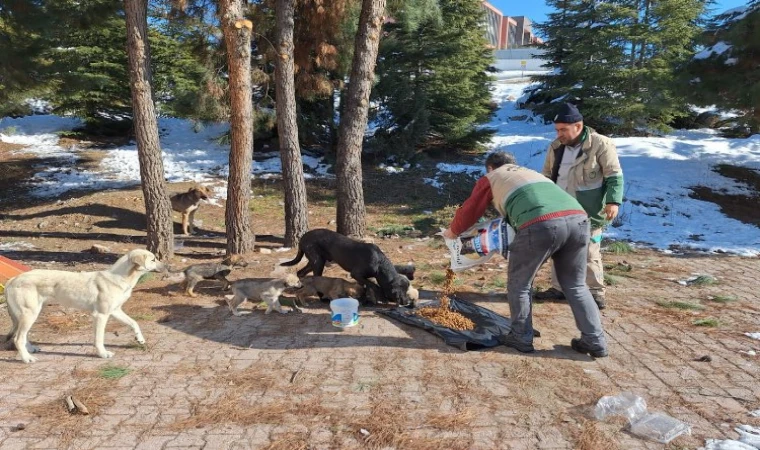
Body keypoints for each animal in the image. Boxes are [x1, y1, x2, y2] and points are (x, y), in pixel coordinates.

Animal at [4, 248, 165, 364]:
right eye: (153, 259)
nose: (167, 266)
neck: (121, 278)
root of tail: (12, 279)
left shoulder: (115, 311)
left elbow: (134, 323)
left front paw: (140, 339)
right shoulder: (101, 315)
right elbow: (99, 338)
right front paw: (103, 354)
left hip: (33, 313)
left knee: (23, 336)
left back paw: (31, 349)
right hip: (30, 314)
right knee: (18, 338)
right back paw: (27, 359)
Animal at [280, 229, 410, 306]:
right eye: (400, 291)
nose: (406, 302)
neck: (379, 263)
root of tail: (303, 238)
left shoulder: (361, 278)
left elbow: (366, 286)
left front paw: (364, 299)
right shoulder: (356, 274)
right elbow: (374, 285)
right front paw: (382, 298)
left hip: (315, 261)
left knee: (301, 273)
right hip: (318, 261)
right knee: (316, 277)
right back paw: (322, 298)